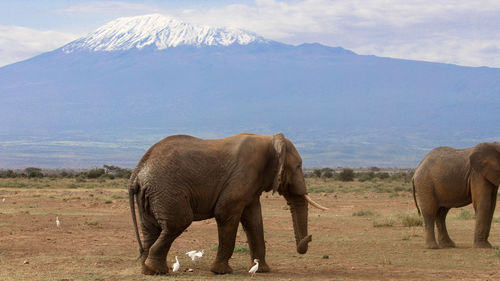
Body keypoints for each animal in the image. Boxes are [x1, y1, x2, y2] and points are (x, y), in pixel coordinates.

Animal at [128, 132, 328, 274]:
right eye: (298, 166)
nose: (310, 237)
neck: (270, 140)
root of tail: (138, 170)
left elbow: (254, 220)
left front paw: (262, 270)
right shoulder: (243, 175)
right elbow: (225, 213)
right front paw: (221, 272)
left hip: (151, 193)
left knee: (151, 228)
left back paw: (148, 270)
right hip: (166, 189)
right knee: (179, 222)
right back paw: (157, 270)